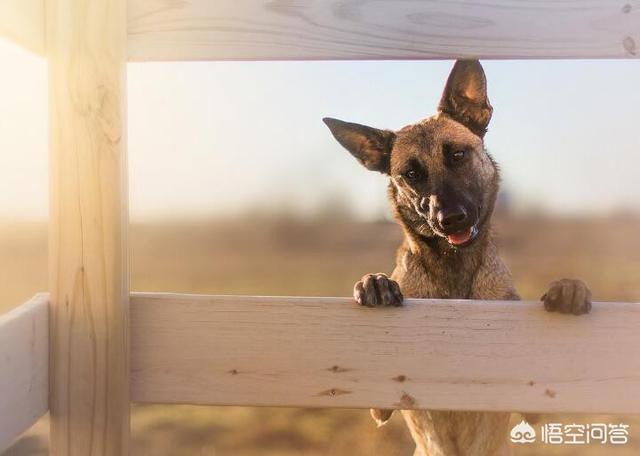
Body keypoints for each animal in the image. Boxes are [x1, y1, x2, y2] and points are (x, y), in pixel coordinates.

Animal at [322, 59, 592, 456]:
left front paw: (570, 288)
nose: (449, 219)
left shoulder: (530, 395)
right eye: (411, 174)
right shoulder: (380, 401)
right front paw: (374, 282)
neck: (454, 271)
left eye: (458, 155)